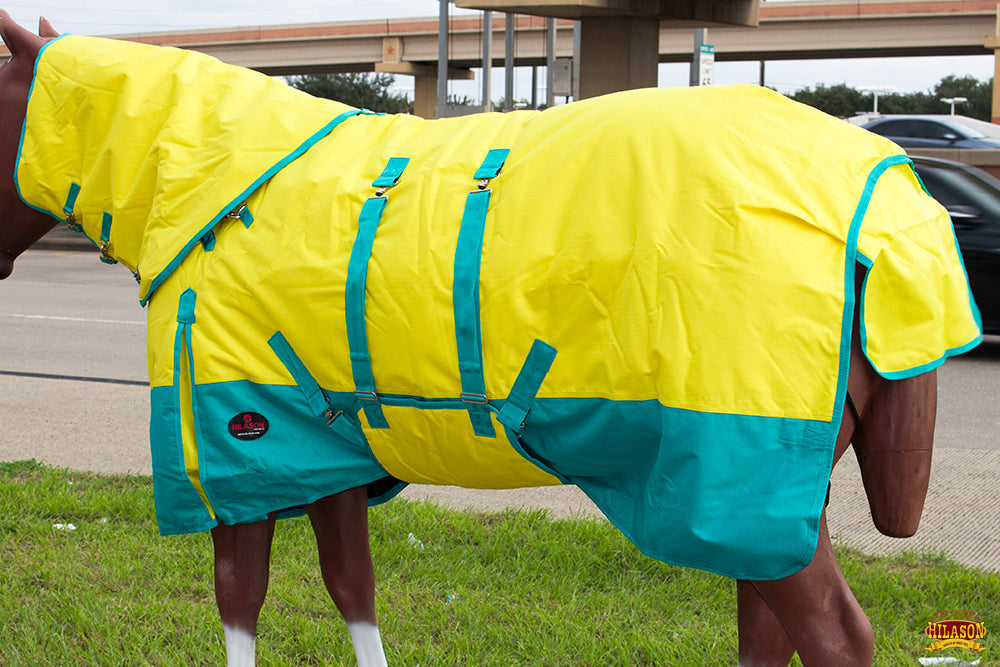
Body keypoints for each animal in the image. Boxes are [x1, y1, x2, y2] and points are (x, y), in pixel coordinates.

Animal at [0, 12, 981, 667]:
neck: (216, 181)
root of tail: (884, 202)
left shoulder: (239, 449)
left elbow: (240, 597)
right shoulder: (324, 453)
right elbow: (351, 585)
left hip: (742, 483)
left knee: (834, 636)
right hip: (781, 496)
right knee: (766, 634)